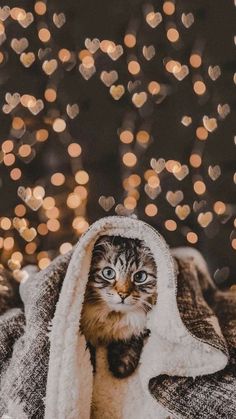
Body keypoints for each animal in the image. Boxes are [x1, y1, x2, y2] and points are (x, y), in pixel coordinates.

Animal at [80, 236, 158, 380]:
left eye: (140, 277)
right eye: (108, 273)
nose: (123, 294)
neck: (114, 316)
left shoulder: (137, 329)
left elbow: (129, 344)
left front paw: (121, 366)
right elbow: (88, 348)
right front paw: (90, 368)